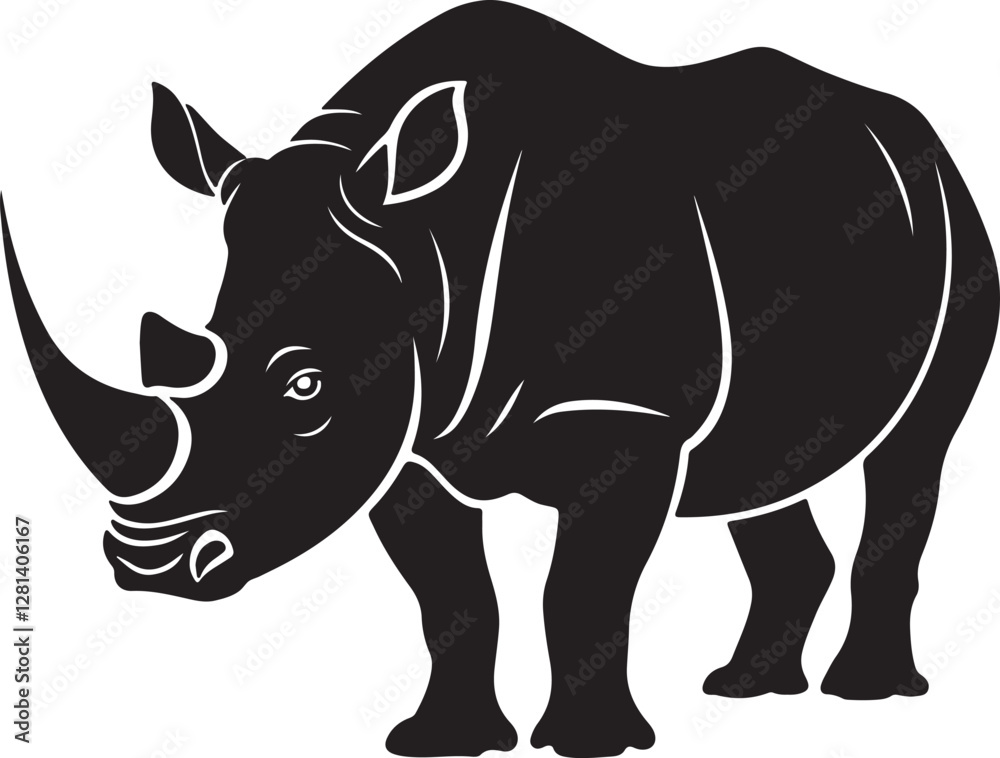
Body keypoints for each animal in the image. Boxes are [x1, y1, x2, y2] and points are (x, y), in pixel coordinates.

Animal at [4, 2, 998, 756]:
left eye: (305, 390)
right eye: (188, 349)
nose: (150, 566)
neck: (426, 242)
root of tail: (922, 134)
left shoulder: (625, 414)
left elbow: (581, 590)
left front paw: (593, 745)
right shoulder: (409, 436)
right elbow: (451, 599)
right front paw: (441, 744)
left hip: (955, 217)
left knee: (913, 452)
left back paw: (867, 696)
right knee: (761, 467)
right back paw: (743, 692)